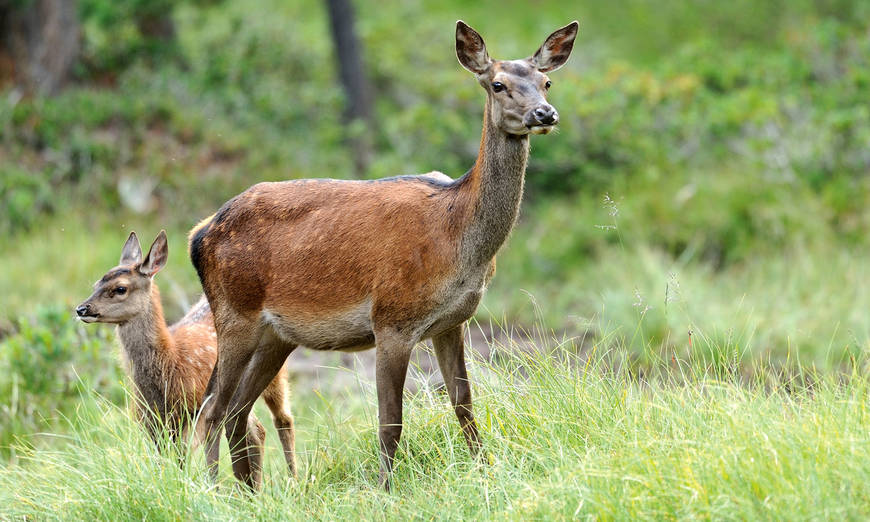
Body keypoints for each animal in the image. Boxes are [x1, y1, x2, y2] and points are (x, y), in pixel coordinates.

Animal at [76, 232, 298, 480]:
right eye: (96, 284)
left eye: (120, 288)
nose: (82, 309)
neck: (172, 364)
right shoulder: (151, 419)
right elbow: (166, 459)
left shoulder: (193, 411)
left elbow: (183, 456)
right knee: (255, 430)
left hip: (275, 374)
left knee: (281, 420)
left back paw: (292, 480)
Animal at [192, 19, 580, 488]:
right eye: (498, 84)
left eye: (546, 82)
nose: (544, 114)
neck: (456, 240)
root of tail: (200, 235)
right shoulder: (392, 319)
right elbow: (390, 419)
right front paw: (384, 489)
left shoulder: (452, 322)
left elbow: (464, 404)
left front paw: (488, 472)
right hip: (235, 314)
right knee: (211, 408)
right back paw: (215, 490)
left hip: (275, 335)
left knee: (237, 411)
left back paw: (250, 492)